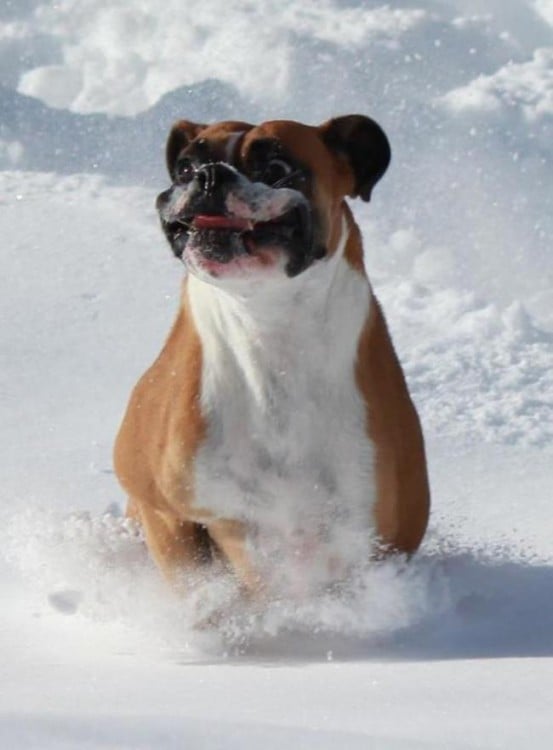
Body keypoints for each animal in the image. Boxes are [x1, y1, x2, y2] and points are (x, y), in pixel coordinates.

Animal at [114, 116, 430, 600]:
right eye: (185, 167)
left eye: (277, 167)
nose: (210, 176)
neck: (267, 330)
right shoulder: (165, 509)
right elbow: (196, 583)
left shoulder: (378, 542)